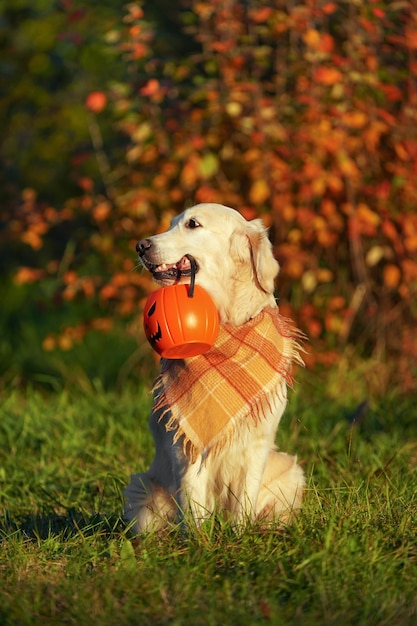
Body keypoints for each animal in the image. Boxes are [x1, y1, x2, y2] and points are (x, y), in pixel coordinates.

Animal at [123, 202, 302, 528]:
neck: (225, 324)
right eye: (171, 223)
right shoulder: (185, 445)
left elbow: (244, 502)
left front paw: (240, 534)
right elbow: (194, 507)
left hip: (290, 471)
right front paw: (199, 539)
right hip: (141, 487)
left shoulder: (257, 444)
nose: (140, 245)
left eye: (192, 224)